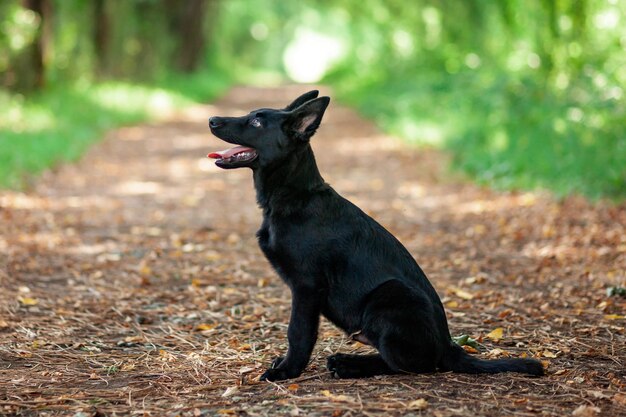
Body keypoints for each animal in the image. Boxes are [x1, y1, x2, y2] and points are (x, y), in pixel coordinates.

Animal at [208, 91, 540, 380]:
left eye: (257, 122)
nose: (211, 119)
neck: (295, 196)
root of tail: (448, 345)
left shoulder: (306, 286)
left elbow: (299, 333)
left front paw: (288, 371)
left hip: (390, 295)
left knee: (410, 363)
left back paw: (349, 364)